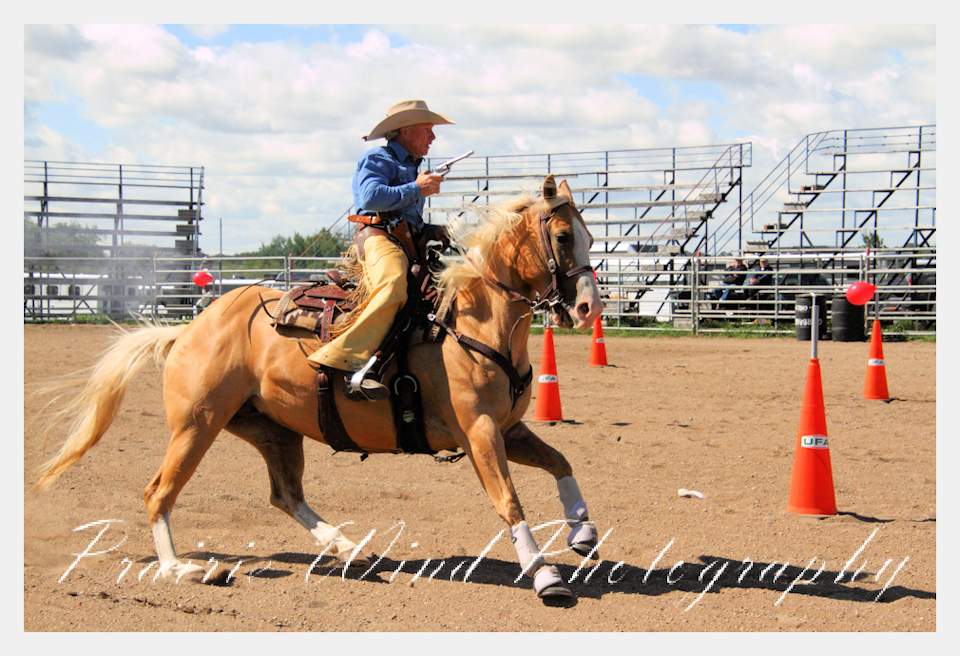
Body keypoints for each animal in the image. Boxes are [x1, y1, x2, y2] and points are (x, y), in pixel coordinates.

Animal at [31, 175, 604, 600]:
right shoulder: (479, 431)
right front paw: (546, 576)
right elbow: (509, 501)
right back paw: (183, 570)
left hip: (271, 430)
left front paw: (583, 532)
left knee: (285, 494)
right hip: (197, 424)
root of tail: (189, 328)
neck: (467, 319)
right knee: (159, 492)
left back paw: (348, 546)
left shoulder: (507, 429)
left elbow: (561, 463)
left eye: (591, 238)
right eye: (561, 236)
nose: (587, 308)